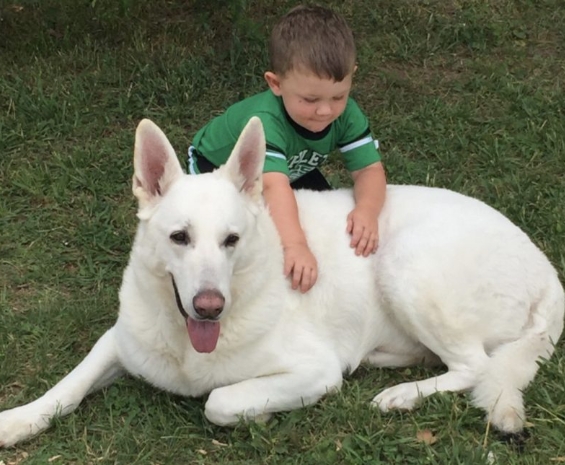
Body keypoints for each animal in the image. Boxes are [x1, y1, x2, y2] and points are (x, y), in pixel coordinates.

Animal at [1, 117, 564, 446]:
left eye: (231, 240)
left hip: (405, 263)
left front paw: (260, 414)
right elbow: (69, 385)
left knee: (474, 366)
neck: (189, 345)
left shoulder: (317, 371)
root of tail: (548, 271)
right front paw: (19, 420)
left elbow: (220, 401)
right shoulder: (117, 341)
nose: (209, 306)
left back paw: (403, 395)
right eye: (180, 237)